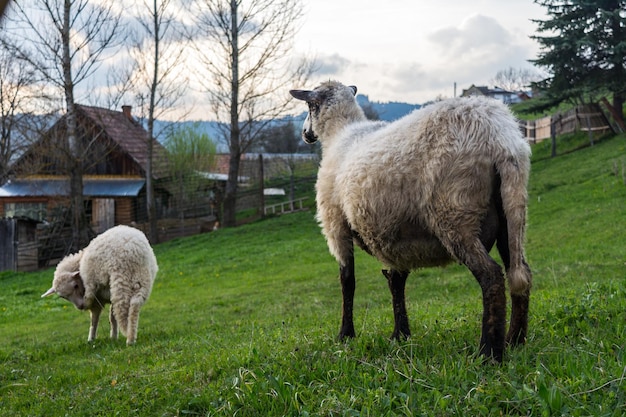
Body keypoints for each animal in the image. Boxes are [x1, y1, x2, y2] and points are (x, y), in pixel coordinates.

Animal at [288, 81, 532, 360]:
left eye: (310, 106)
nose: (305, 133)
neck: (341, 133)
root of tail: (499, 139)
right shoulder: (392, 235)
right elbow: (396, 282)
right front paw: (400, 334)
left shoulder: (335, 225)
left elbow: (347, 281)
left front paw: (345, 334)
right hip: (512, 212)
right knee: (520, 274)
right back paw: (515, 340)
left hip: (455, 212)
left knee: (491, 276)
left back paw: (489, 353)